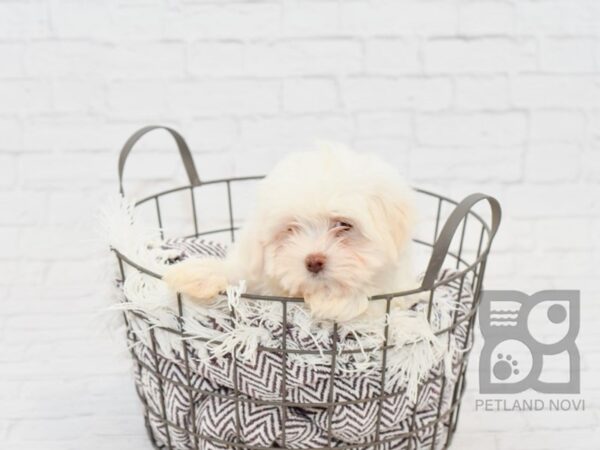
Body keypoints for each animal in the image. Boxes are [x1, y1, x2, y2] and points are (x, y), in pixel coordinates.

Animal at [164, 146, 418, 322]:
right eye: (290, 229)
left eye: (344, 225)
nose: (314, 262)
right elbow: (240, 273)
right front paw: (201, 272)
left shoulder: (395, 294)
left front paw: (337, 300)